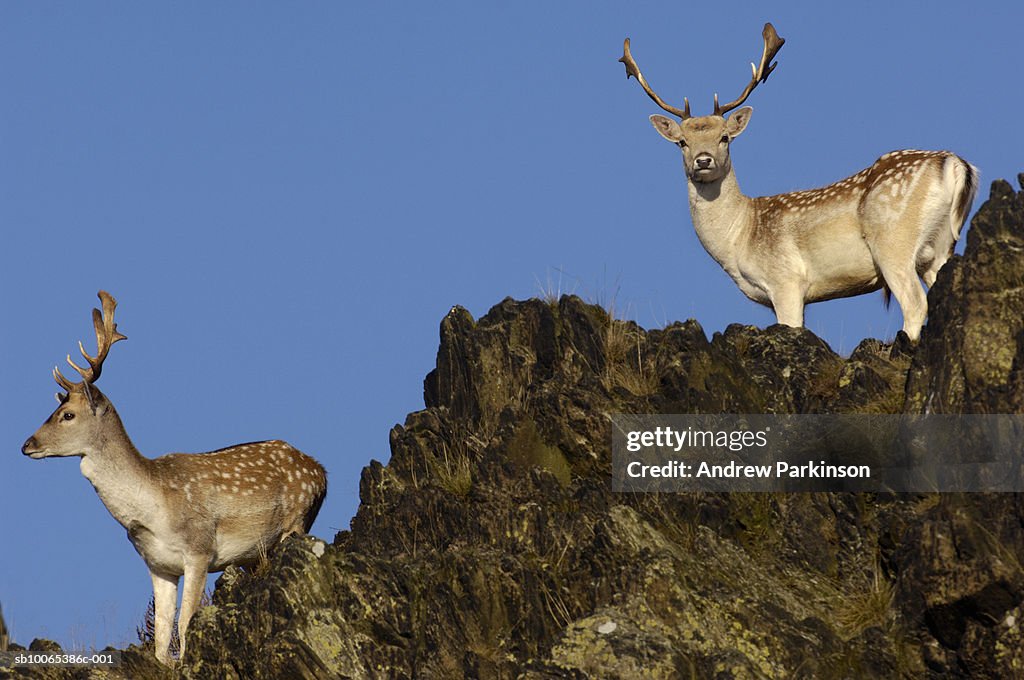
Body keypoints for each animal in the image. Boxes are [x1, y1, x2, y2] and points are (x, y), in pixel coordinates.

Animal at [22, 292, 327, 663]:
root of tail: (320, 470)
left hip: (296, 522)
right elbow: (161, 636)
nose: (27, 444)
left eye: (67, 414)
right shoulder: (158, 565)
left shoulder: (199, 548)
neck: (154, 508)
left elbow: (185, 623)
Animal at [618, 23, 978, 342]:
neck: (739, 237)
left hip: (894, 242)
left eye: (725, 138)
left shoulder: (786, 281)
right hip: (940, 247)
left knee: (915, 305)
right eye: (682, 142)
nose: (703, 160)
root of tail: (954, 164)